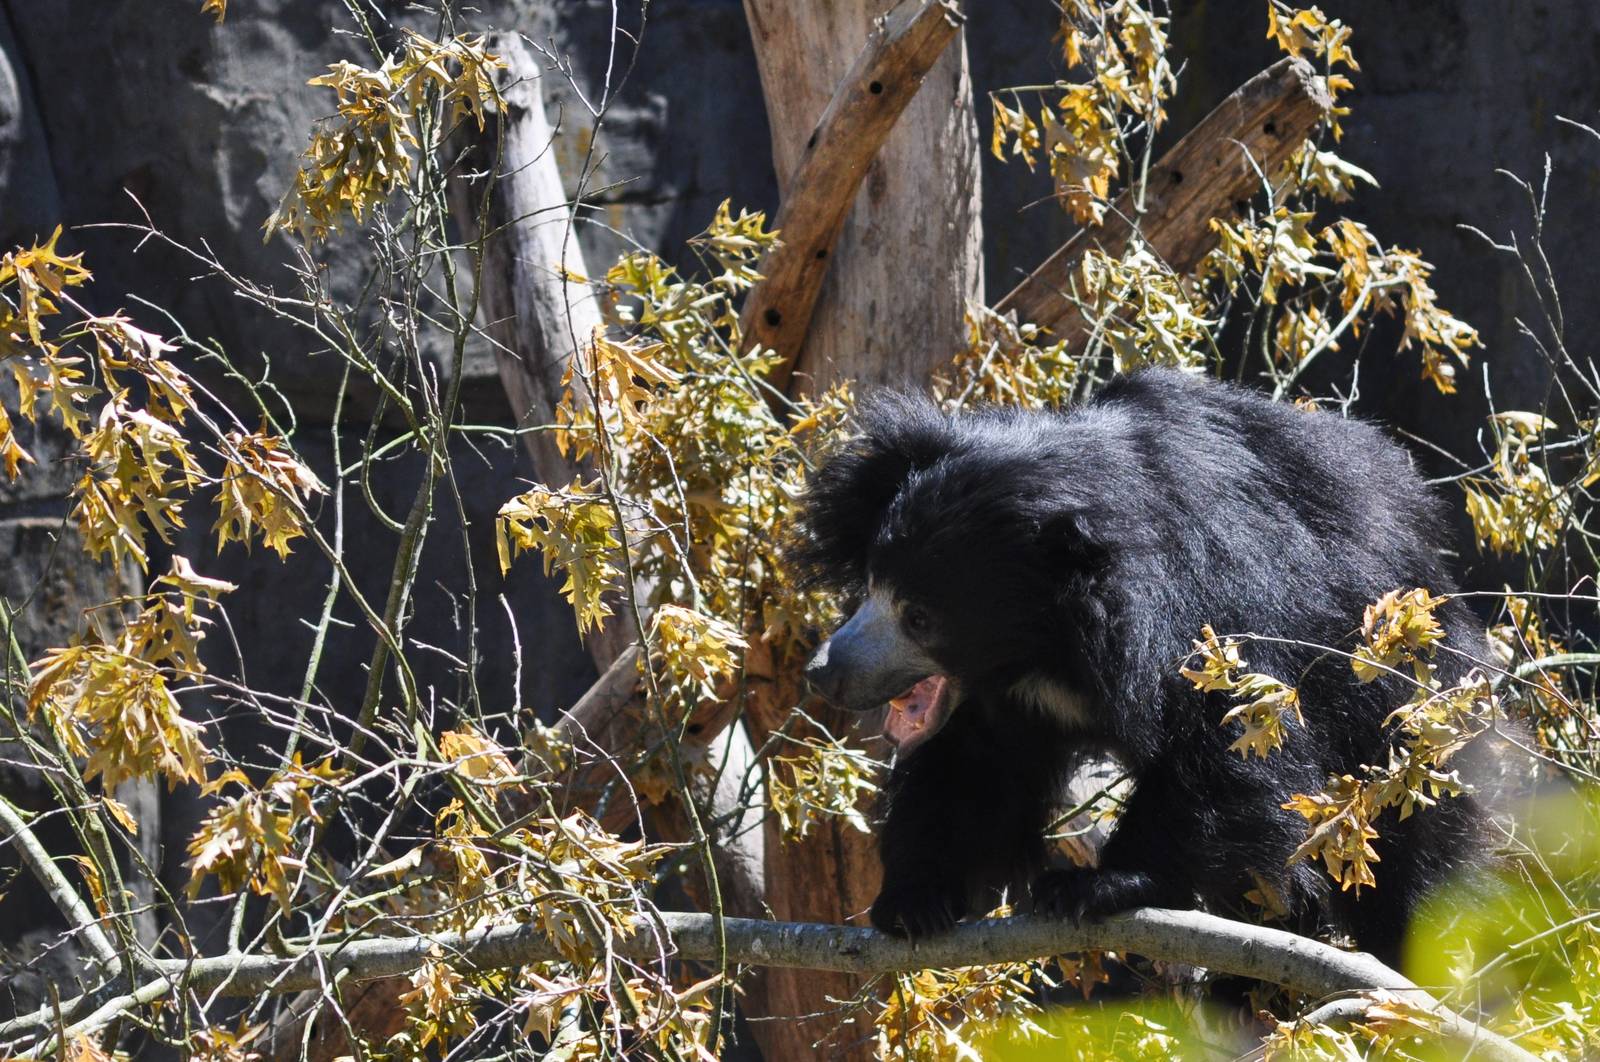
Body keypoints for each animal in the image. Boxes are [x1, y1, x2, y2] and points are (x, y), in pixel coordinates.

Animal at [793, 368, 1492, 965]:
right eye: (873, 582)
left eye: (920, 616)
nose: (825, 673)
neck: (1044, 644)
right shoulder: (1005, 703)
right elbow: (971, 773)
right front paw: (914, 901)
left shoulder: (1221, 614)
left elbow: (1224, 744)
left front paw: (1093, 885)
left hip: (1403, 709)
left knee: (1409, 851)